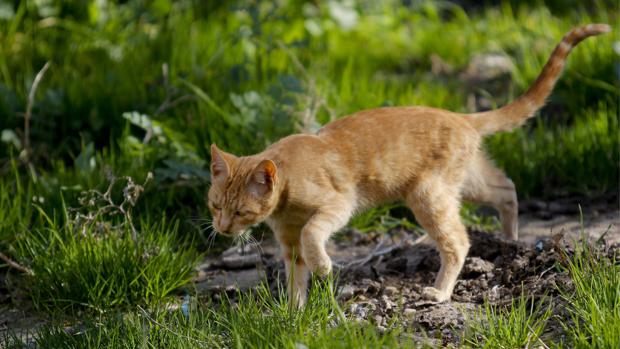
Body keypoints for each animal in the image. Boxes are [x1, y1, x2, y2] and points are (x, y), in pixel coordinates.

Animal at [207, 24, 612, 306]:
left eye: (241, 211)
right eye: (214, 205)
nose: (222, 229)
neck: (286, 199)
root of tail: (463, 117)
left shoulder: (338, 205)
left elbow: (312, 235)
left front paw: (322, 267)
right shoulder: (288, 243)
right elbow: (294, 277)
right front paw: (294, 313)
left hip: (429, 194)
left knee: (459, 241)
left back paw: (440, 292)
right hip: (466, 182)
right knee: (506, 189)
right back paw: (510, 242)